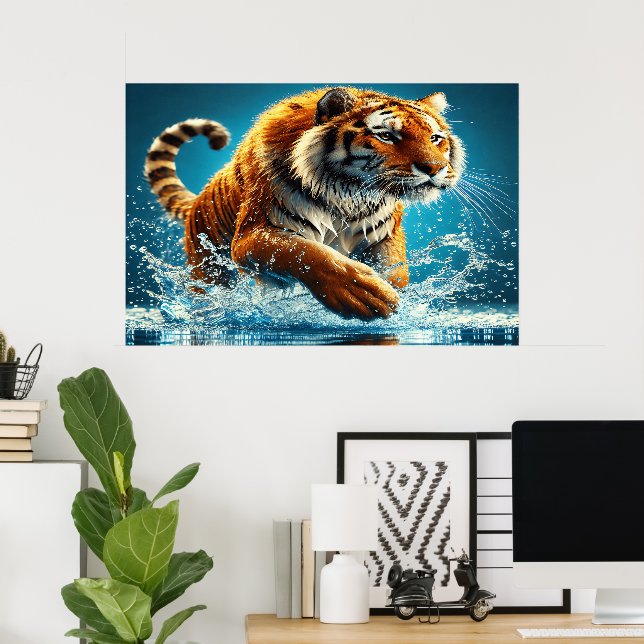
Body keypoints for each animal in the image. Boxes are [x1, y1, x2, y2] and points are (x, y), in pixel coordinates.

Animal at [144, 87, 465, 320]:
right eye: (386, 136)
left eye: (435, 138)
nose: (435, 169)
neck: (349, 195)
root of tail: (198, 199)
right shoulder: (253, 233)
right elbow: (305, 252)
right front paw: (361, 294)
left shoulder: (384, 236)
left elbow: (395, 272)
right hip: (208, 268)